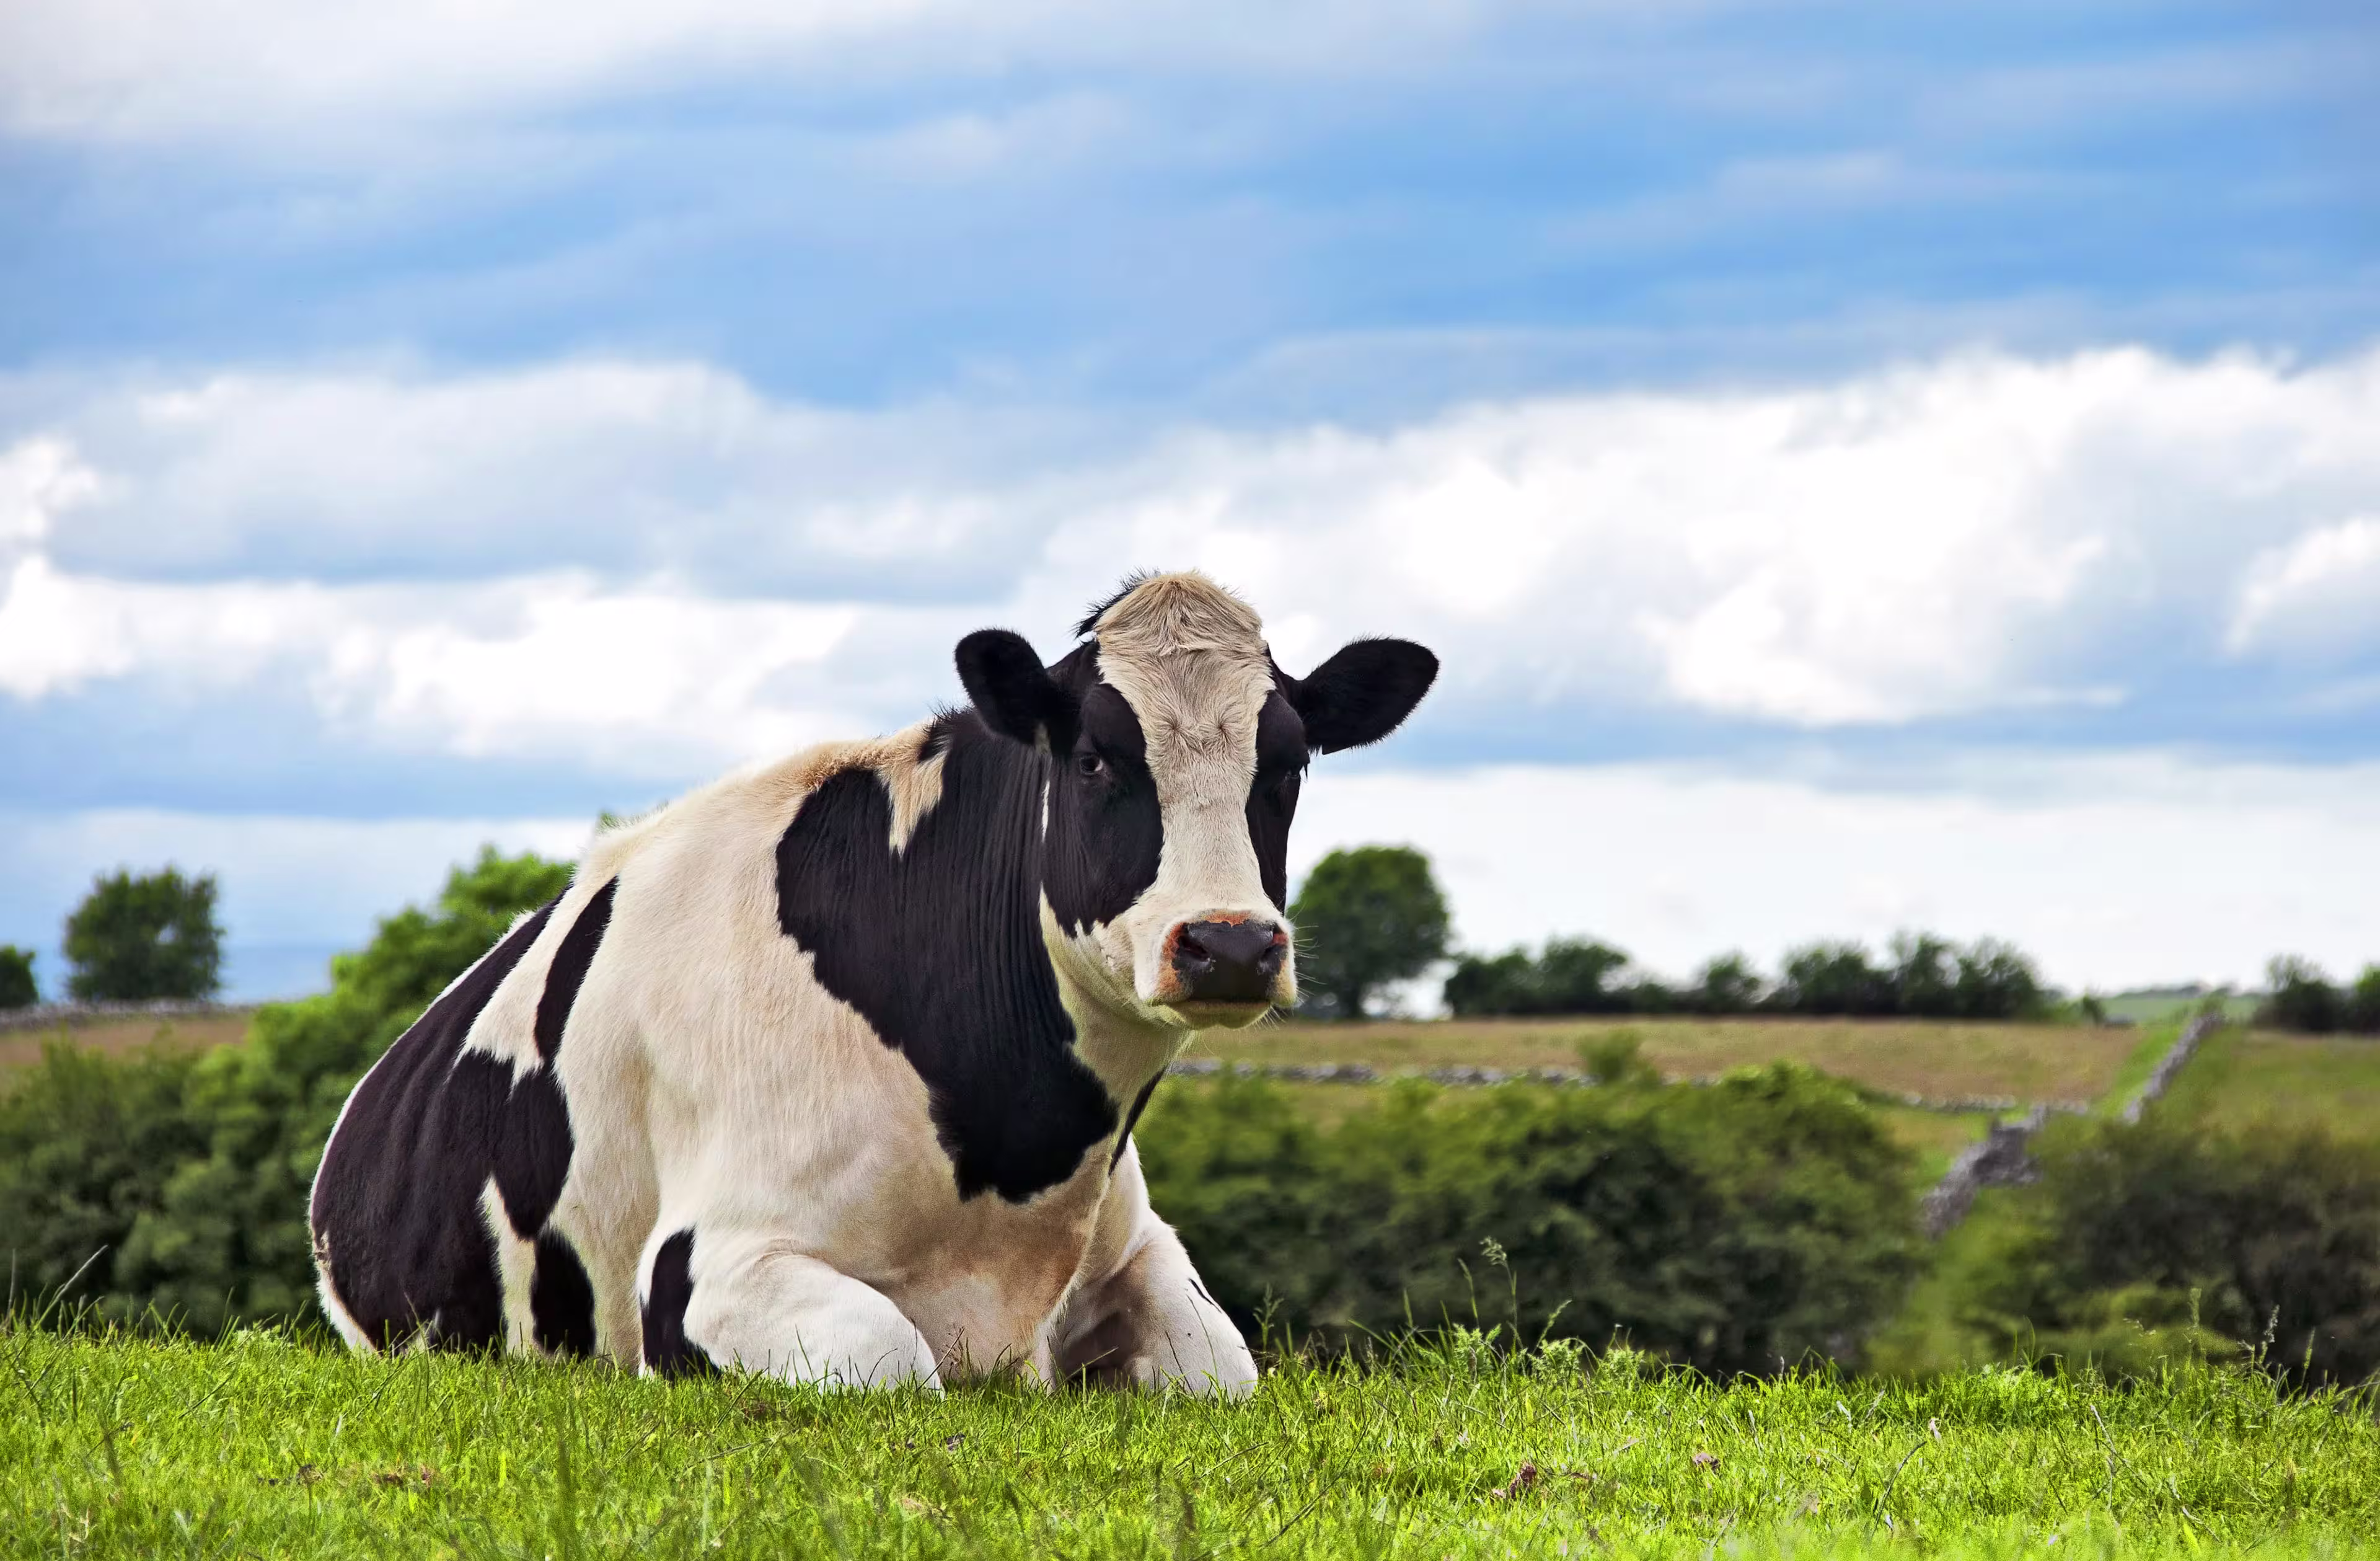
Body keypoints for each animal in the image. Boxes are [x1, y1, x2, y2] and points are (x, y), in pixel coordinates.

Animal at [309, 572, 1436, 1393]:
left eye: (1288, 765)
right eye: (1094, 760)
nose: (1229, 944)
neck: (1017, 1161)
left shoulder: (1135, 1248)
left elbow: (1222, 1368)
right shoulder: (708, 1265)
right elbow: (899, 1359)